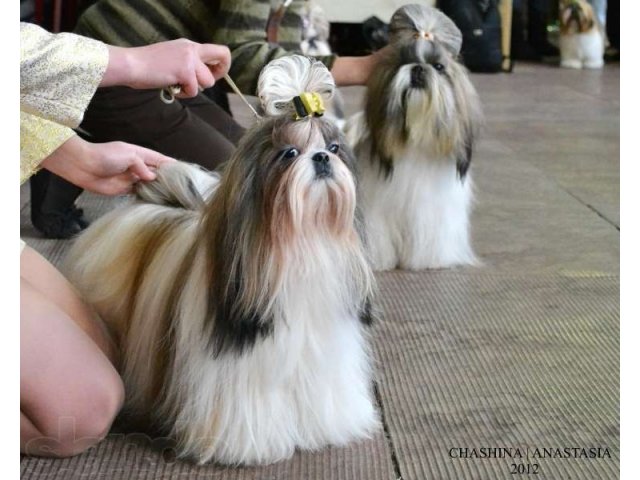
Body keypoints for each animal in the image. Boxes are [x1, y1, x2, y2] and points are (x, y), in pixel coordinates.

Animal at [344, 4, 480, 270]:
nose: (417, 68)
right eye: (403, 62)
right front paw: (379, 261)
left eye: (438, 67)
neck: (416, 142)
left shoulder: (433, 211)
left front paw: (430, 261)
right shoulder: (377, 210)